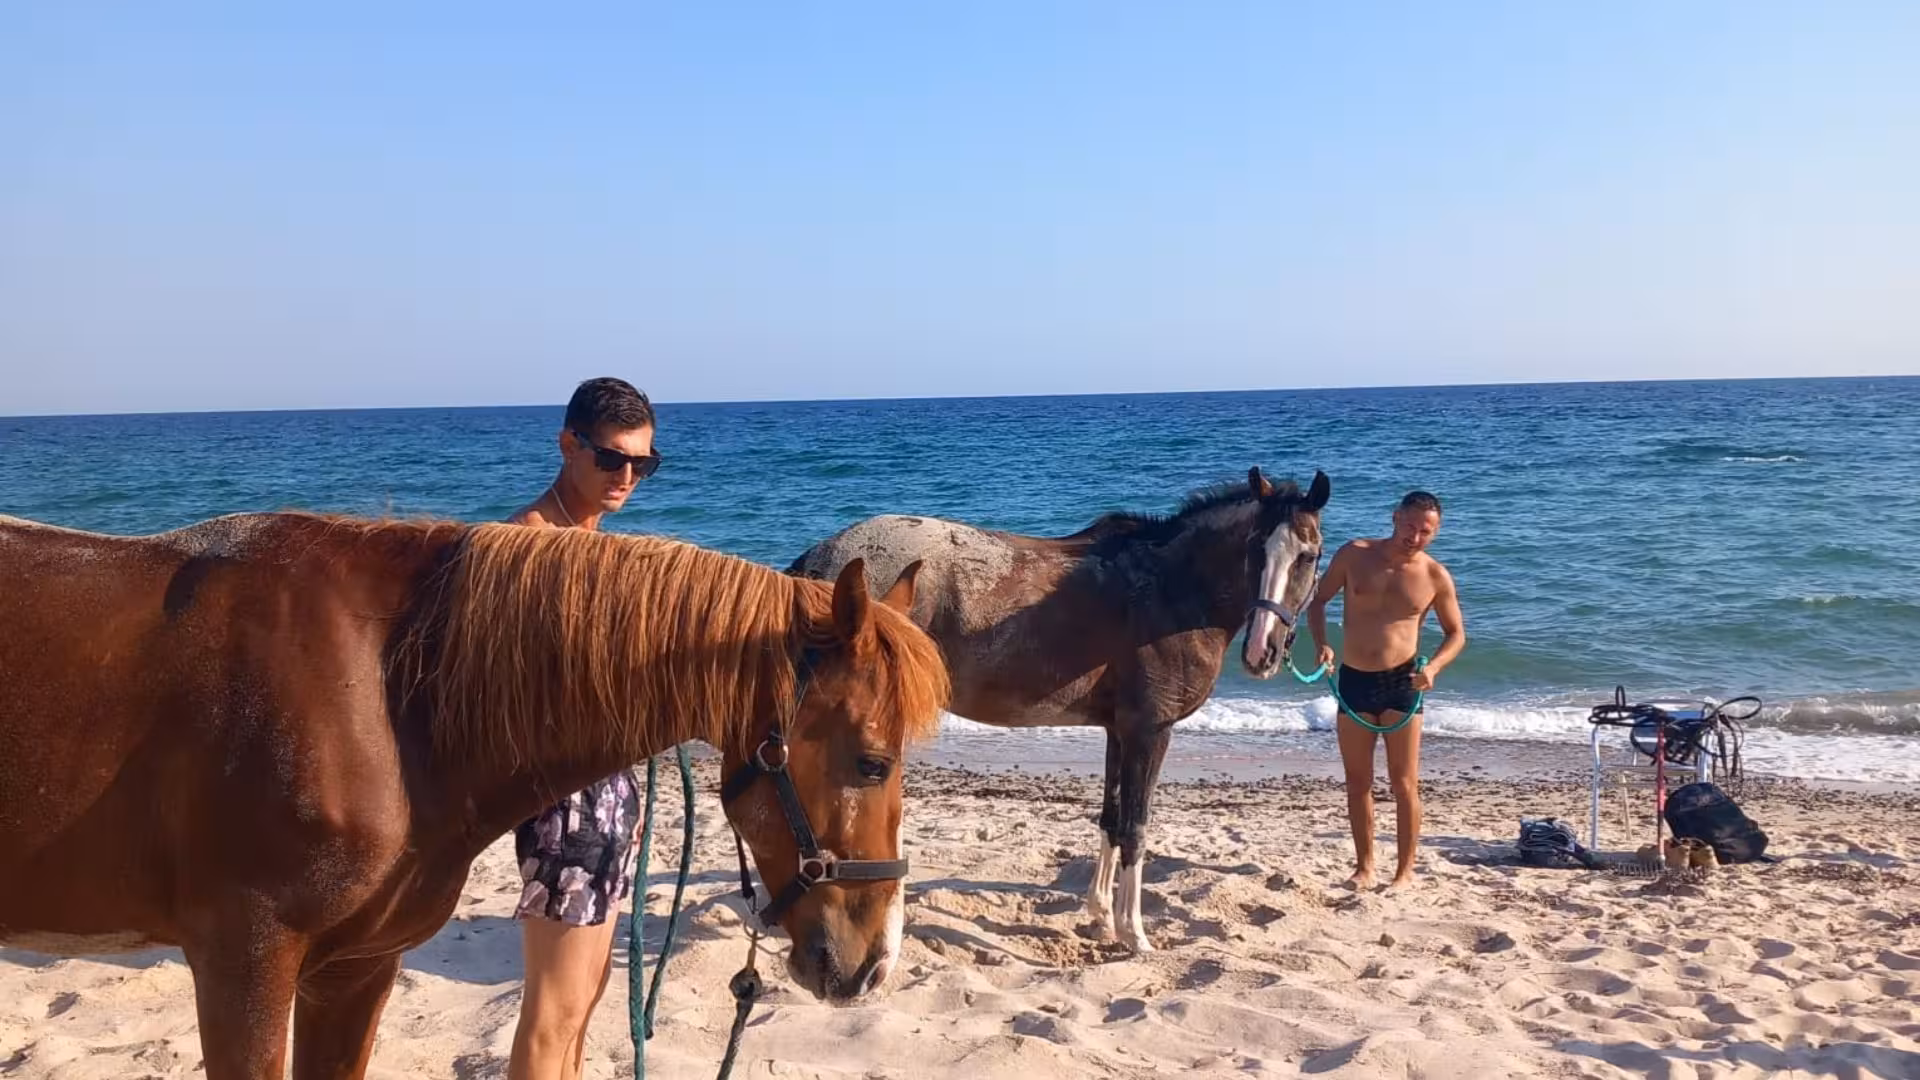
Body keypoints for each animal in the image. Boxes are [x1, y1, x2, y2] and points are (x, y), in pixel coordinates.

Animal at [787, 466, 1330, 952]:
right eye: (1255, 549)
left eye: (1309, 555)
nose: (1262, 653)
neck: (1170, 591)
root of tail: (819, 558)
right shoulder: (1150, 731)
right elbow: (1135, 827)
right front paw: (1134, 934)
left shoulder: (1119, 731)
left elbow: (1111, 819)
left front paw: (1102, 918)